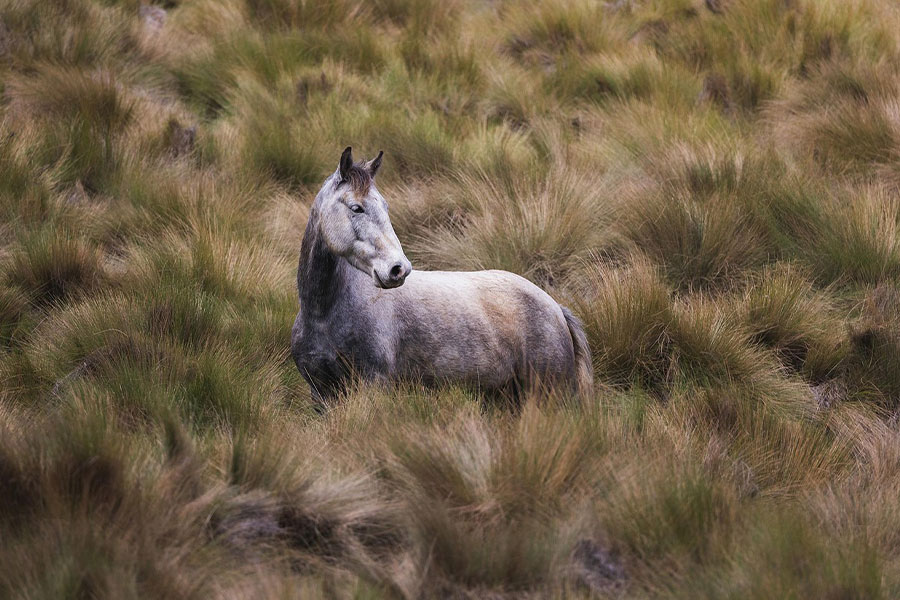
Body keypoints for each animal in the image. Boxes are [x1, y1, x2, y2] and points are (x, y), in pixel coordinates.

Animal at [291, 147, 594, 405]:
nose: (398, 269)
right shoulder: (321, 393)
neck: (323, 315)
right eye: (356, 207)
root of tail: (555, 307)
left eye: (385, 207)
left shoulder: (373, 385)